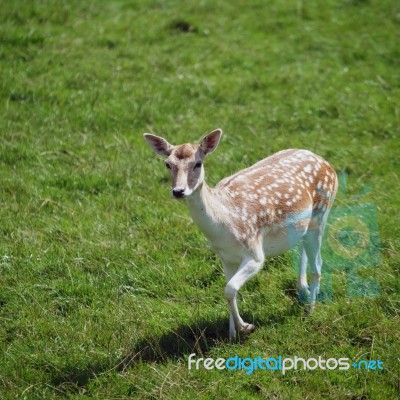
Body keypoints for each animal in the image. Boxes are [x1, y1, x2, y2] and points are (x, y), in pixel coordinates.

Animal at [144, 130, 338, 342]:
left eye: (198, 163)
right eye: (167, 164)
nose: (178, 191)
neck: (225, 226)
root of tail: (327, 164)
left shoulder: (255, 252)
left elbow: (229, 288)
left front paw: (246, 327)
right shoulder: (225, 257)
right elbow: (230, 290)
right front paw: (232, 334)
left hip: (322, 213)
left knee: (318, 262)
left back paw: (310, 310)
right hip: (306, 225)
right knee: (305, 248)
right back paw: (303, 291)